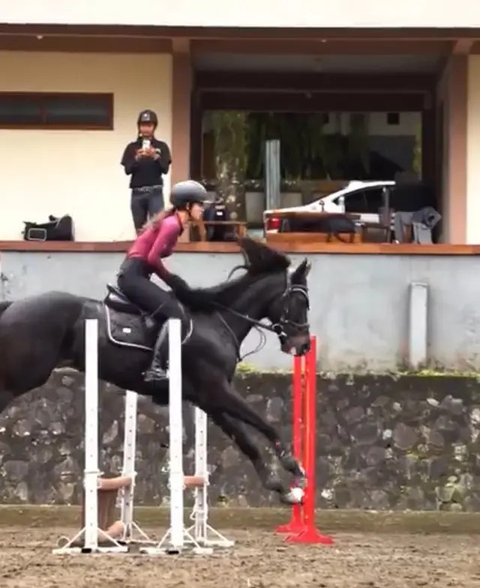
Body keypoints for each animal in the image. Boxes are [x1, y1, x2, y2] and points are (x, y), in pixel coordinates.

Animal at [0, 237, 312, 504]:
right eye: (302, 302)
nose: (304, 345)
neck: (218, 322)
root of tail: (13, 306)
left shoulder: (208, 399)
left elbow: (246, 441)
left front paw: (283, 490)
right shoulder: (218, 390)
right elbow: (264, 424)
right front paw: (294, 467)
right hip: (17, 380)